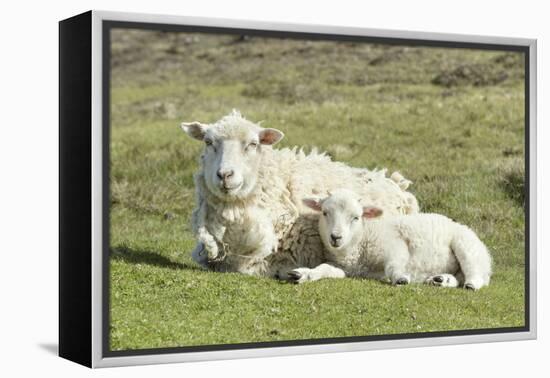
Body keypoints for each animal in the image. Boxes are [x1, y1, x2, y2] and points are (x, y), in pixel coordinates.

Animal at [298, 189, 496, 290]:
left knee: (475, 273)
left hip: (466, 246)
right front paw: (305, 274)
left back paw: (471, 284)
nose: (336, 237)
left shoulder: (395, 243)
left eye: (356, 217)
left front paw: (400, 278)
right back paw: (441, 280)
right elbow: (324, 268)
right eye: (325, 213)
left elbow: (393, 264)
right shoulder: (345, 268)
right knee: (459, 277)